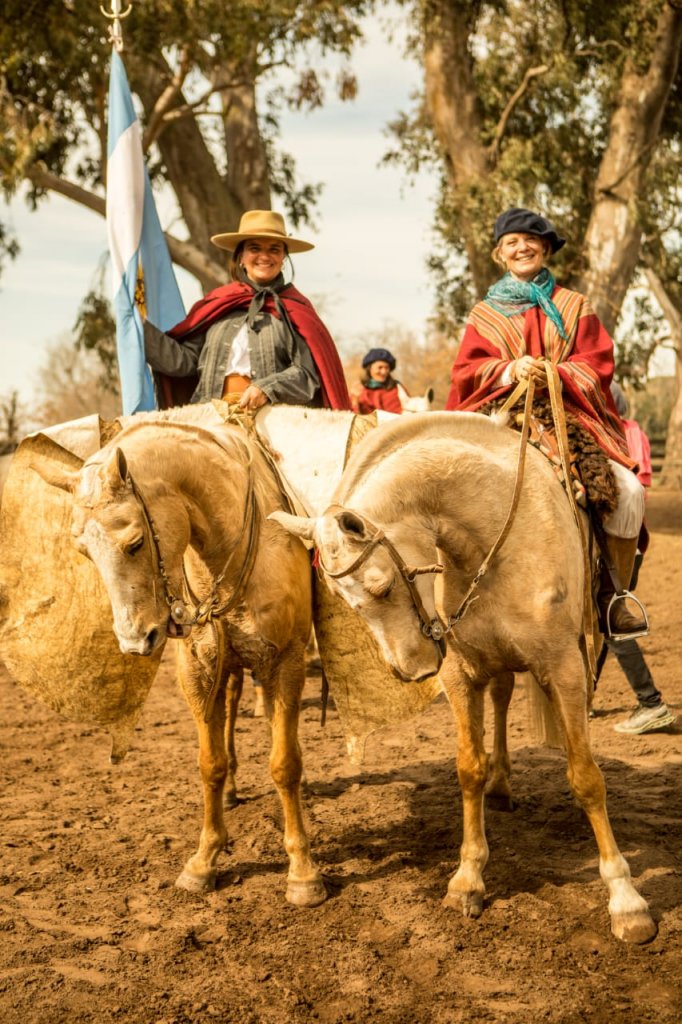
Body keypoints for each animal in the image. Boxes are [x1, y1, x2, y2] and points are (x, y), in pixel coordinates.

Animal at [35, 407, 325, 905]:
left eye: (135, 543)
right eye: (82, 550)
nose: (136, 641)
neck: (226, 551)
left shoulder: (286, 663)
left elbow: (285, 764)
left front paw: (302, 872)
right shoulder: (198, 666)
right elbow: (210, 763)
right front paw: (204, 859)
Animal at [272, 407, 659, 942]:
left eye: (383, 585)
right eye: (345, 601)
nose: (410, 669)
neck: (493, 538)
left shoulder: (565, 670)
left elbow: (586, 777)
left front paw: (626, 901)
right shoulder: (461, 675)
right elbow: (469, 769)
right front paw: (468, 879)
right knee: (501, 697)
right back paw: (501, 785)